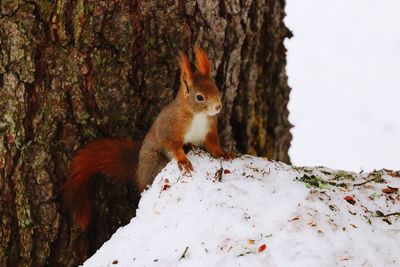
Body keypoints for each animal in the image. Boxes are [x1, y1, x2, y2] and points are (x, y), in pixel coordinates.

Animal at [63, 46, 234, 230]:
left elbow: (213, 144)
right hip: (154, 160)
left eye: (216, 89)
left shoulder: (208, 129)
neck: (198, 115)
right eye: (199, 97)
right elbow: (171, 144)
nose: (218, 107)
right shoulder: (169, 128)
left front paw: (223, 153)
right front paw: (183, 160)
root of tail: (139, 170)